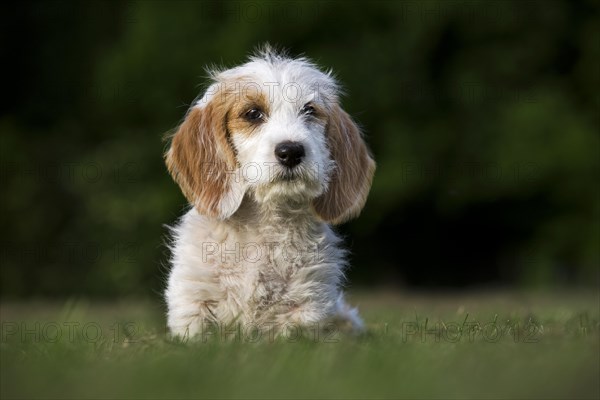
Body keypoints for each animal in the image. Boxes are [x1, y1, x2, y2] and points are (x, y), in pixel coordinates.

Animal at [164, 47, 376, 340]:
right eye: (253, 113)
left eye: (309, 111)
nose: (291, 151)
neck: (265, 223)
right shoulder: (193, 305)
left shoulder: (306, 310)